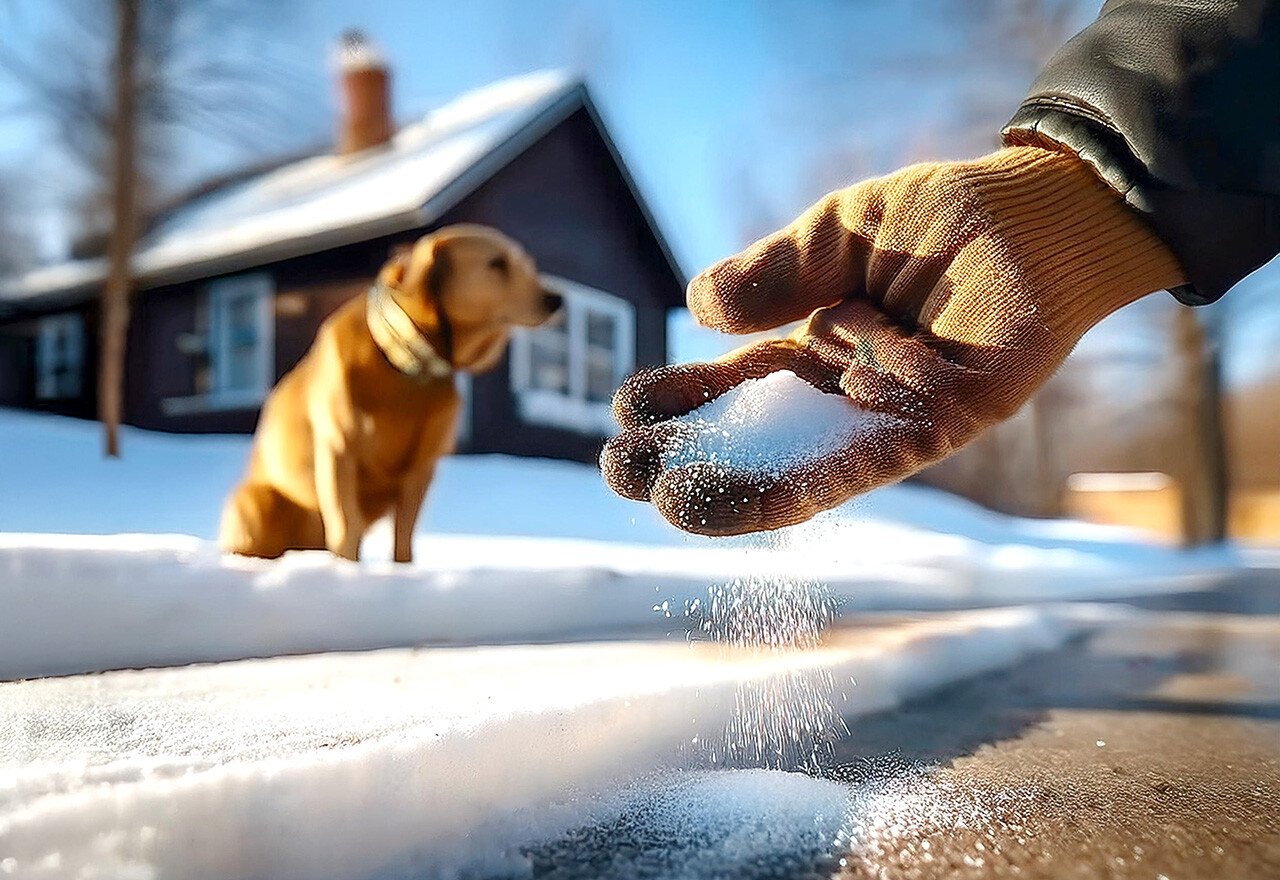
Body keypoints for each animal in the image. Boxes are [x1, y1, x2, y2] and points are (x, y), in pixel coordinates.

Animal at [220, 223, 560, 560]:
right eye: (496, 263)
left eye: (525, 264)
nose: (557, 299)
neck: (406, 369)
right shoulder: (339, 450)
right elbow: (346, 526)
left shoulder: (422, 465)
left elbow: (404, 537)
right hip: (255, 505)